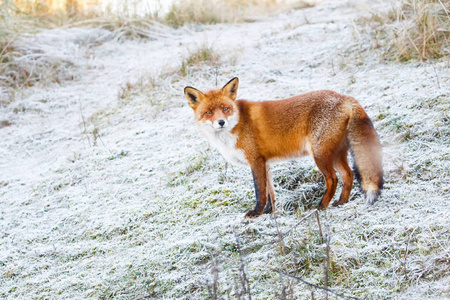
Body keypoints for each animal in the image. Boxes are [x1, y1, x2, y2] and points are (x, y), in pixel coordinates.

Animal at [184, 77, 384, 218]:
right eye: (209, 112)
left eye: (225, 108)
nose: (221, 122)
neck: (237, 123)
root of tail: (345, 97)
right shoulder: (265, 163)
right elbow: (270, 192)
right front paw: (269, 213)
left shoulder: (255, 160)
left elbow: (259, 191)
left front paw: (256, 213)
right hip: (335, 154)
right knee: (348, 175)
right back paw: (341, 203)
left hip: (320, 154)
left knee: (333, 179)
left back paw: (321, 206)